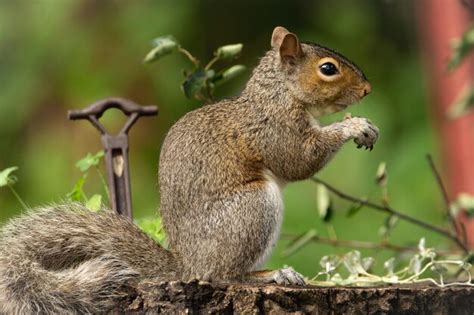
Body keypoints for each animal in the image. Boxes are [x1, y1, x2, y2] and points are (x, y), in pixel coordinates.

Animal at [0, 25, 378, 314]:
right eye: (328, 69)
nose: (367, 89)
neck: (278, 95)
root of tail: (188, 263)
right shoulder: (274, 131)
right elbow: (300, 160)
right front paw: (354, 126)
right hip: (253, 208)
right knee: (222, 275)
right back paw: (272, 274)